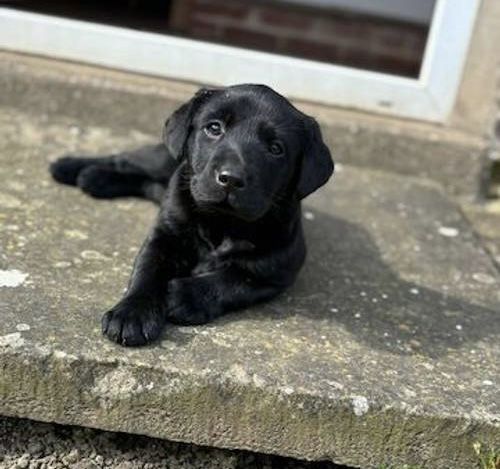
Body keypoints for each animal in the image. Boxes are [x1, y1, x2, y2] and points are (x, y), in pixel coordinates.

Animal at [48, 84, 334, 346]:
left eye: (276, 149)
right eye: (214, 128)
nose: (231, 179)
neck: (222, 222)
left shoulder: (275, 269)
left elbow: (232, 279)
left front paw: (183, 296)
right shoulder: (163, 238)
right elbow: (146, 271)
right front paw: (131, 314)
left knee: (141, 180)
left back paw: (96, 179)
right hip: (159, 158)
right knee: (122, 159)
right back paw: (68, 166)